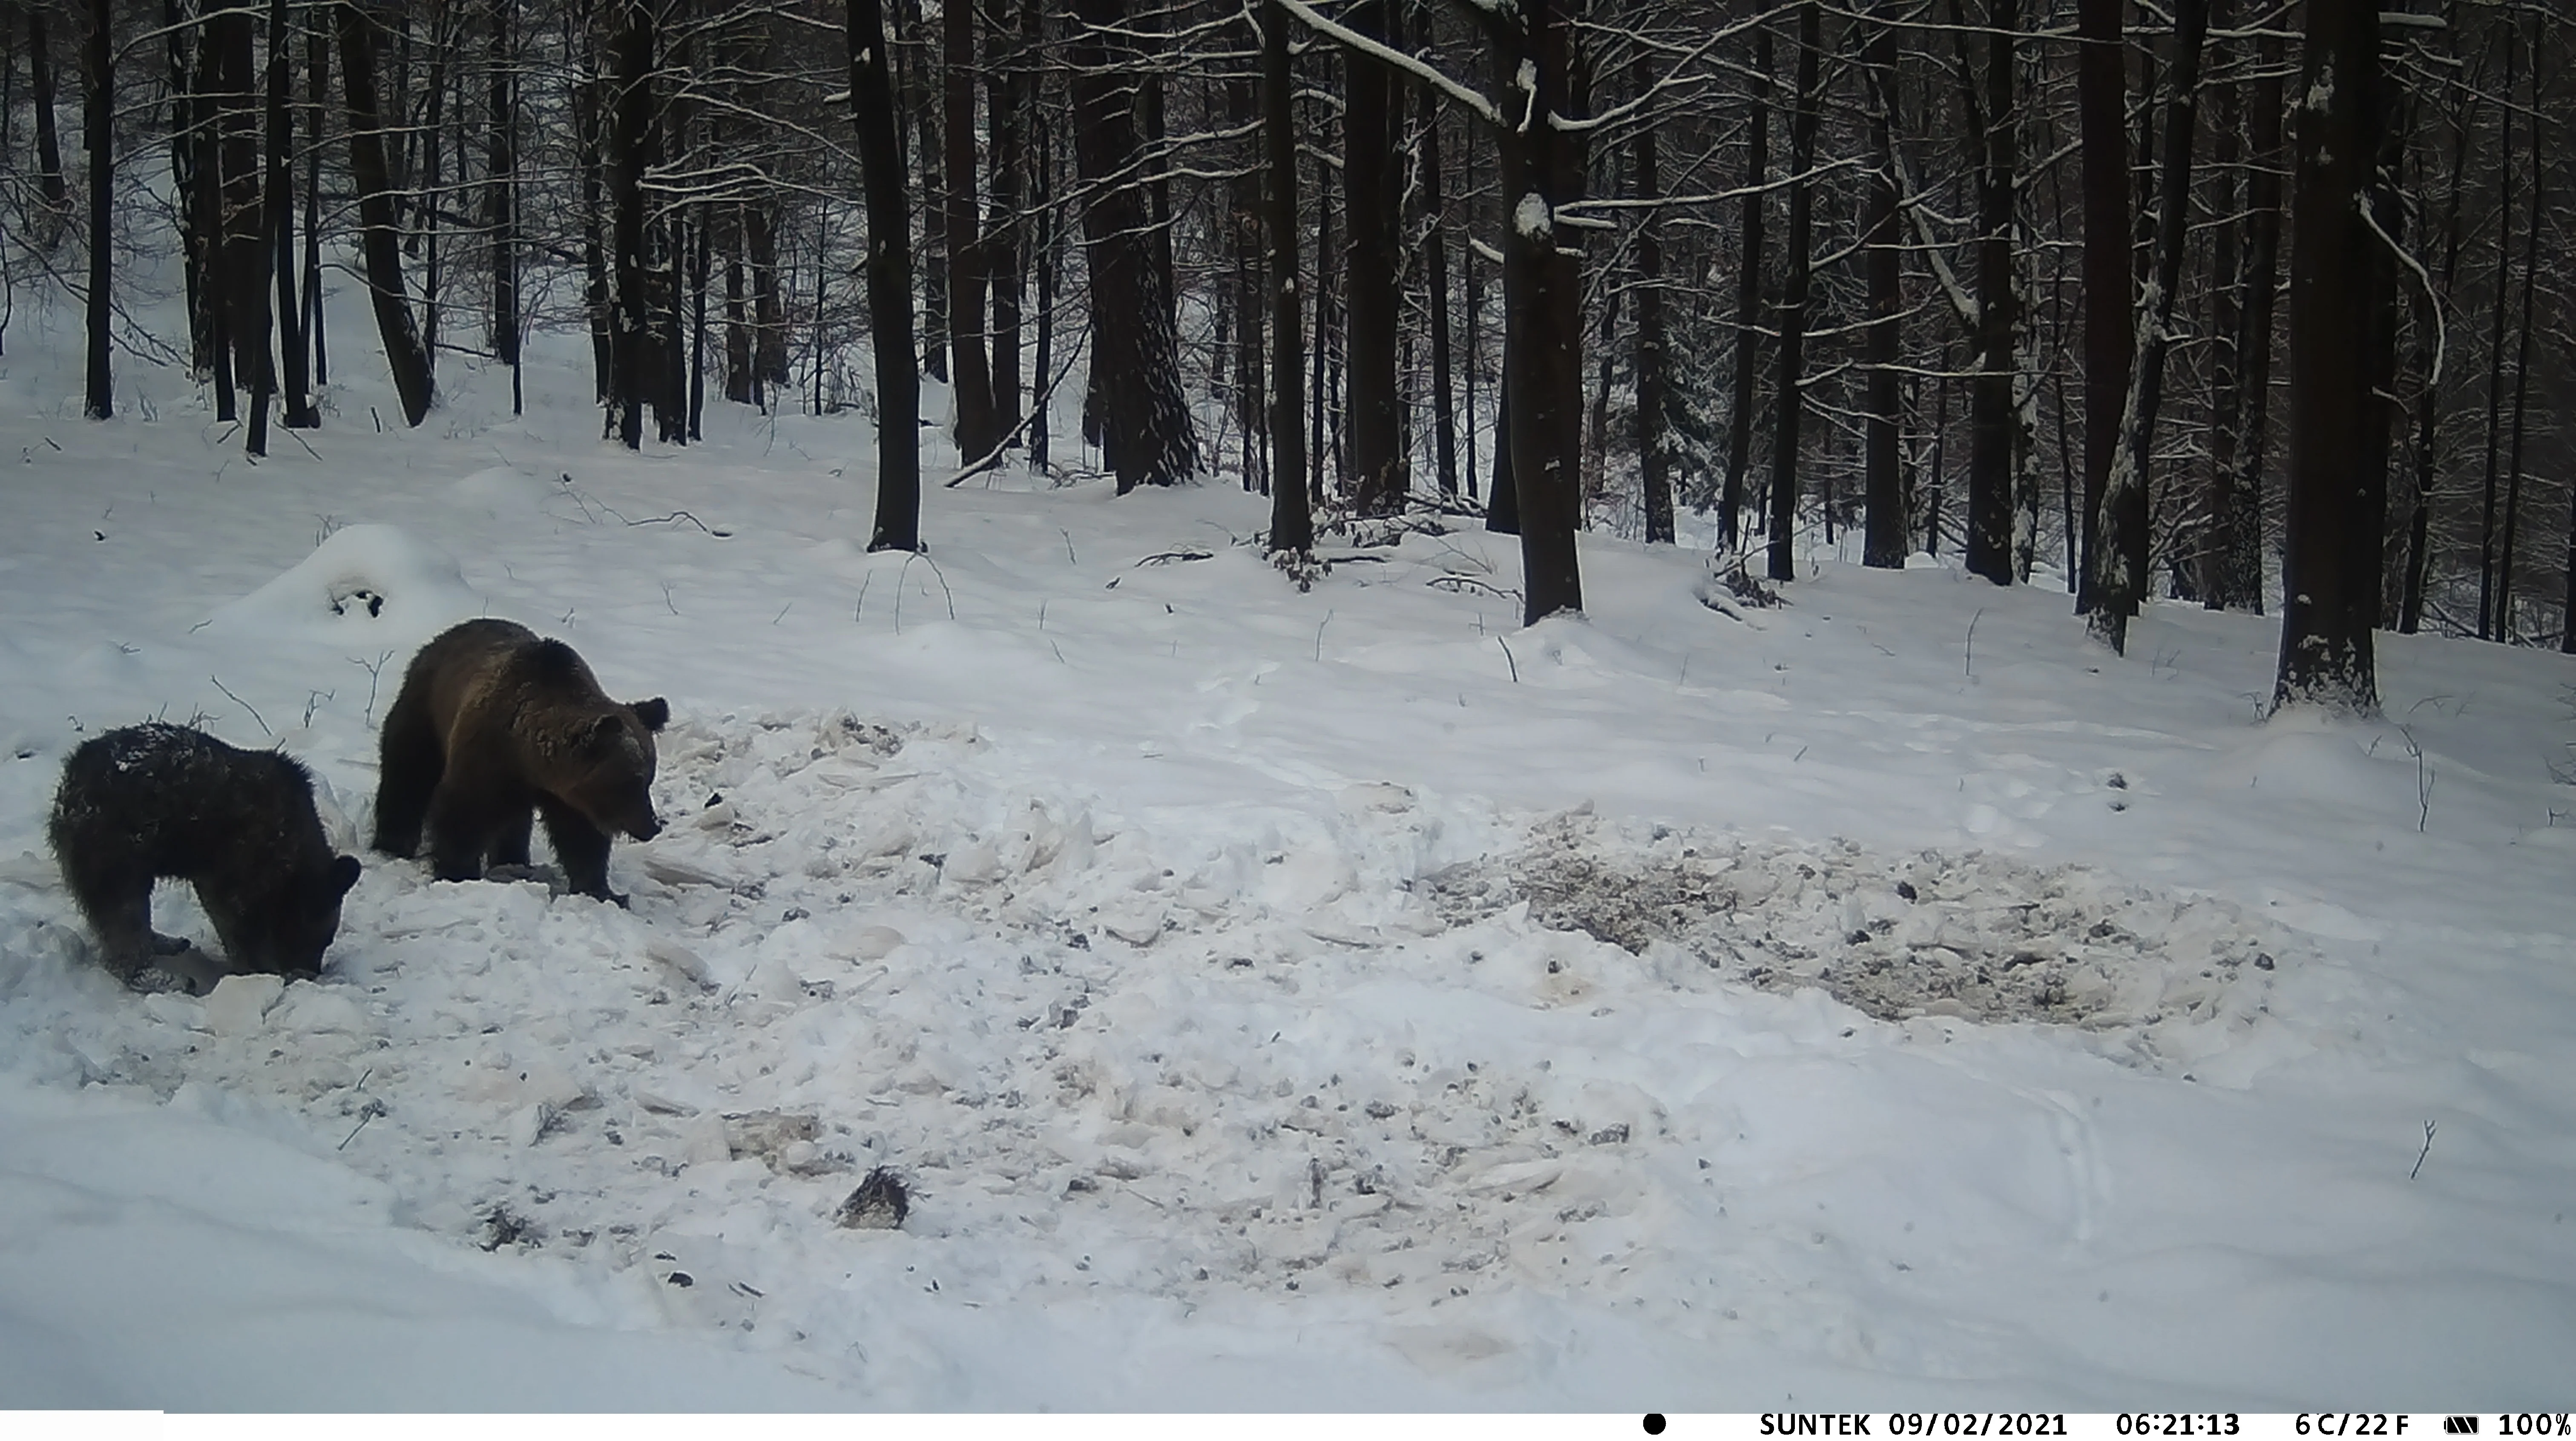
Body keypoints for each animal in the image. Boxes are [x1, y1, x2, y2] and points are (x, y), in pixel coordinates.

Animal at [51, 720, 365, 988]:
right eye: (318, 938)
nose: (311, 973)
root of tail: (70, 783)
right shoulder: (240, 868)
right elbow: (237, 922)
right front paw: (258, 971)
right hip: (113, 844)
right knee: (122, 911)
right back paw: (150, 974)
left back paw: (158, 941)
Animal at [376, 617, 675, 901]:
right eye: (630, 781)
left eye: (648, 778)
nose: (652, 826)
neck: (530, 761)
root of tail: (442, 638)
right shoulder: (488, 756)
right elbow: (464, 811)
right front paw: (457, 872)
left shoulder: (567, 796)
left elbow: (582, 838)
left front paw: (602, 890)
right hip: (427, 710)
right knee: (408, 773)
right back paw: (391, 844)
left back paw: (513, 860)